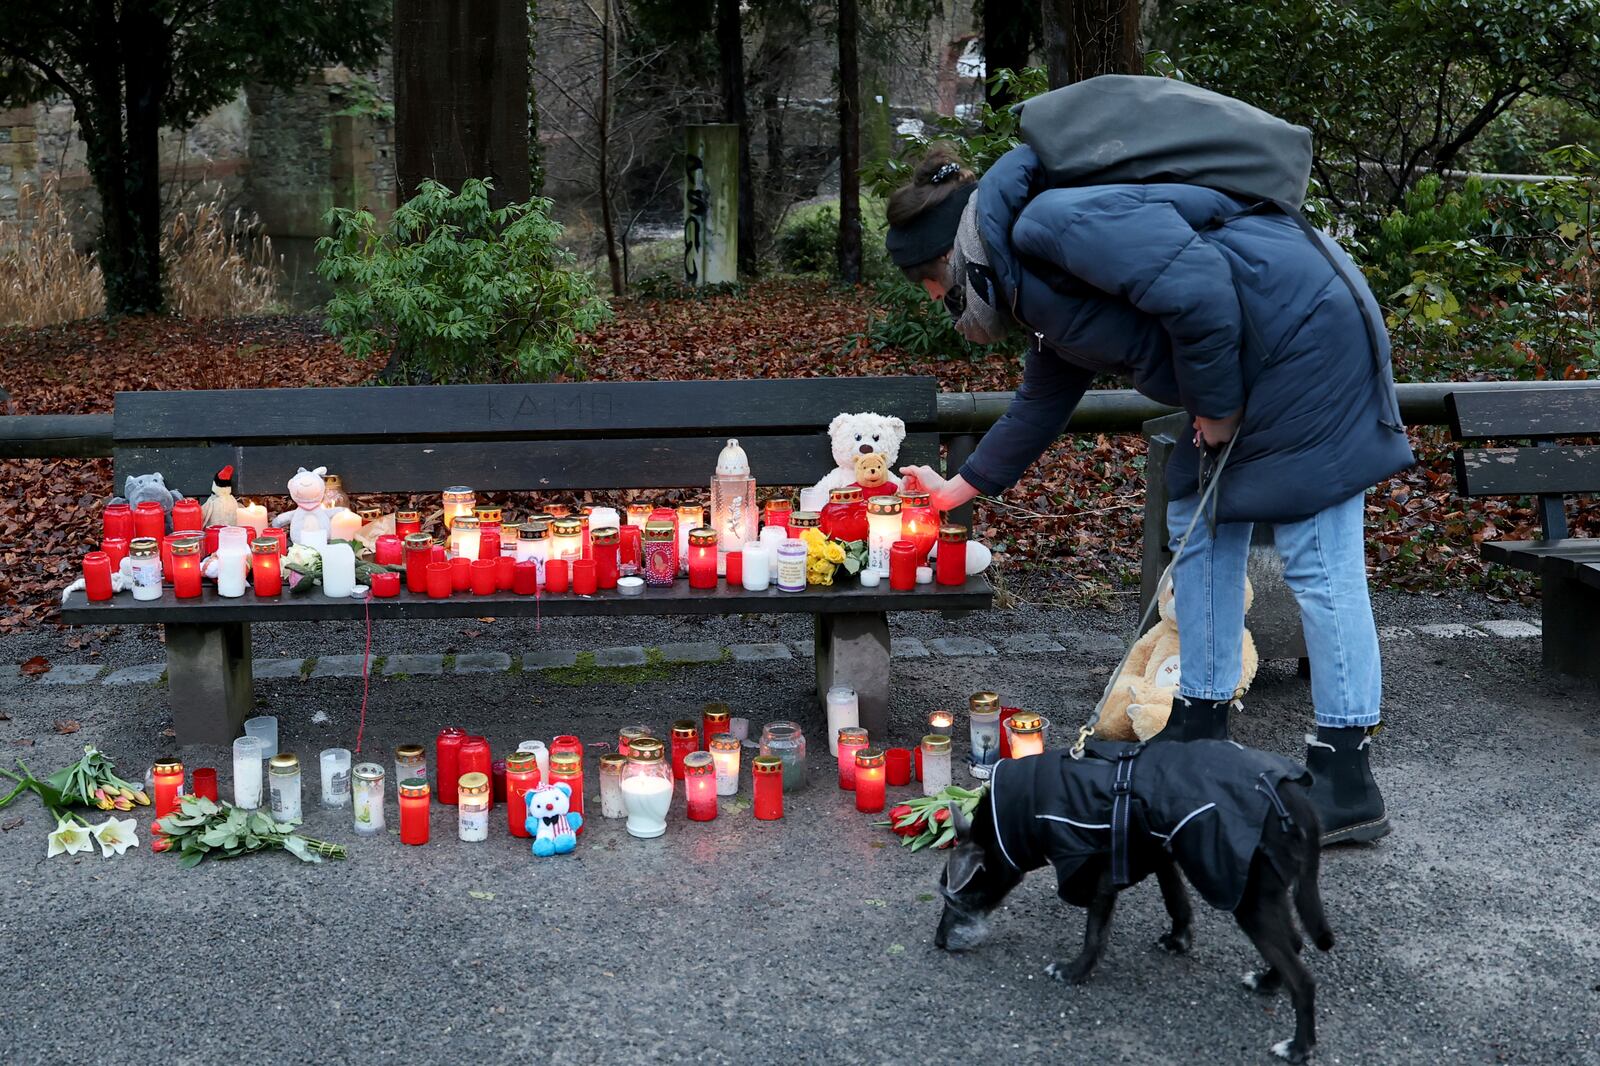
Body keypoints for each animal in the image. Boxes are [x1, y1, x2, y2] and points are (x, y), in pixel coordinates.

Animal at [934, 736, 1337, 1056]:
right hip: (1265, 892)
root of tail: (1292, 801)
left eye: (953, 900)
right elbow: (1176, 901)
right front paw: (1178, 939)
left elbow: (1095, 935)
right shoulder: (1160, 851)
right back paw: (1268, 982)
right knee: (1295, 942)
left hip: (1249, 899)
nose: (938, 942)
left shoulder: (1099, 873)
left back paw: (1299, 1047)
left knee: (1303, 978)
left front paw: (1074, 972)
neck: (1030, 806)